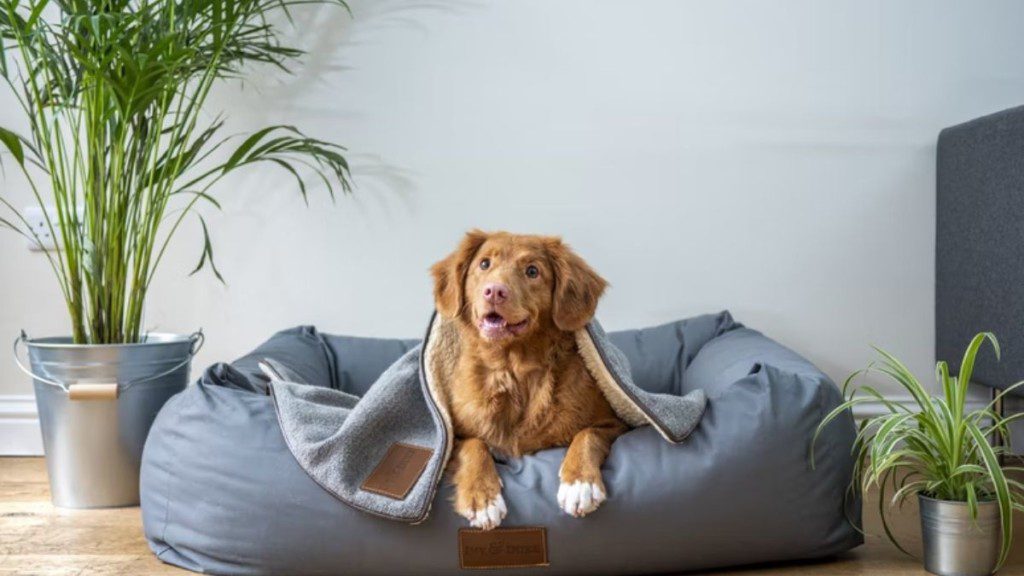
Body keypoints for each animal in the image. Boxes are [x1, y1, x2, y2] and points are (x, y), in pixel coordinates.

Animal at [428, 230, 626, 528]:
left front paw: (579, 484)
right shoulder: (452, 436)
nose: (494, 291)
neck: (513, 369)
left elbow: (588, 434)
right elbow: (474, 445)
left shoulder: (615, 423)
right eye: (484, 264)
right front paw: (483, 497)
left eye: (532, 271)